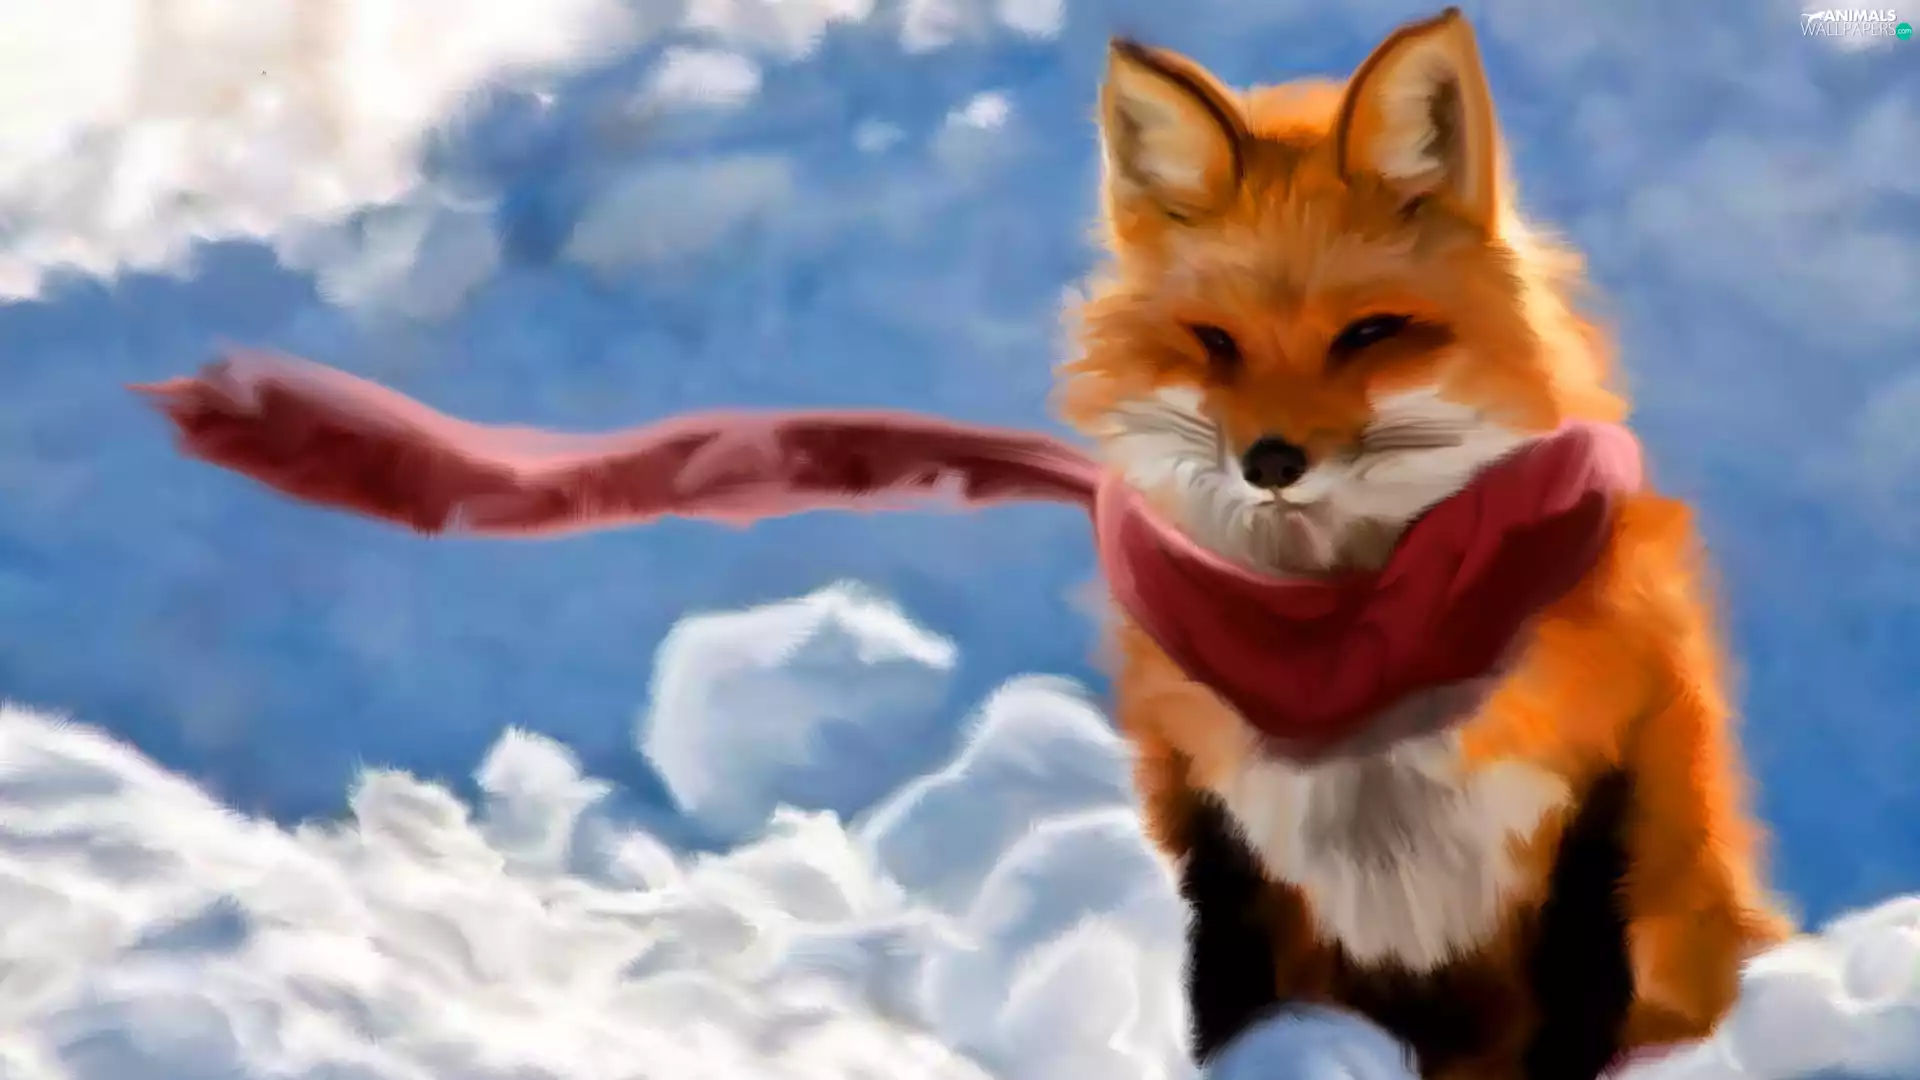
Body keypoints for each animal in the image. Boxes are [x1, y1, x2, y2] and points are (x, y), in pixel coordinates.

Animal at [1055, 9, 1793, 1079]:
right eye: (1215, 343)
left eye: (1369, 334)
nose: (1271, 461)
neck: (1348, 641)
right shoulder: (1219, 826)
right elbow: (1232, 1008)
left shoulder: (1599, 803)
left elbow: (1576, 1019)